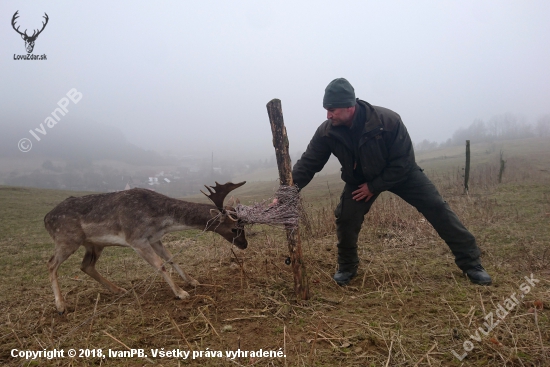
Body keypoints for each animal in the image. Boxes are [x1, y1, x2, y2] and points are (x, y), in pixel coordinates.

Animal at [45, 181, 248, 314]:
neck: (161, 221)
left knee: (86, 265)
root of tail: (46, 219)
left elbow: (171, 258)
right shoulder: (136, 239)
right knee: (51, 263)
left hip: (94, 244)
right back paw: (61, 306)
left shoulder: (154, 238)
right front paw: (181, 293)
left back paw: (119, 290)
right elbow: (160, 265)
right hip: (66, 239)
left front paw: (192, 281)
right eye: (234, 228)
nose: (244, 244)